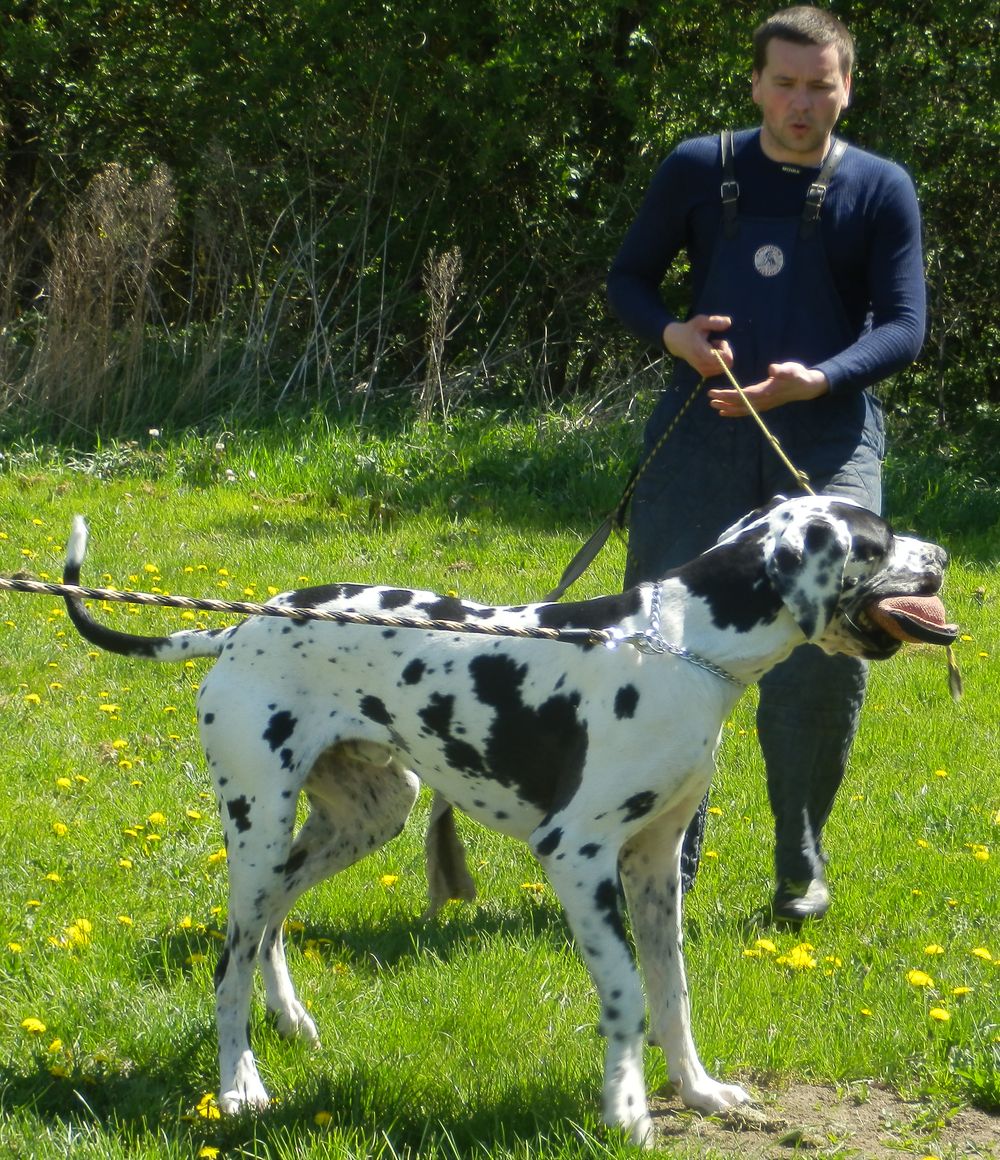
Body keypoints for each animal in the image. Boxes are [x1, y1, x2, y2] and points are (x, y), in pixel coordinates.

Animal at [61, 496, 957, 1147]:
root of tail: (240, 625)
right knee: (228, 962)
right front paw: (628, 1113)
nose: (945, 557)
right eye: (878, 542)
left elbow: (672, 991)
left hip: (360, 820)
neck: (680, 648)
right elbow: (628, 994)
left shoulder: (655, 863)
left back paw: (288, 1024)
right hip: (257, 827)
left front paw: (698, 1092)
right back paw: (239, 1085)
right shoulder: (578, 856)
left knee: (269, 931)